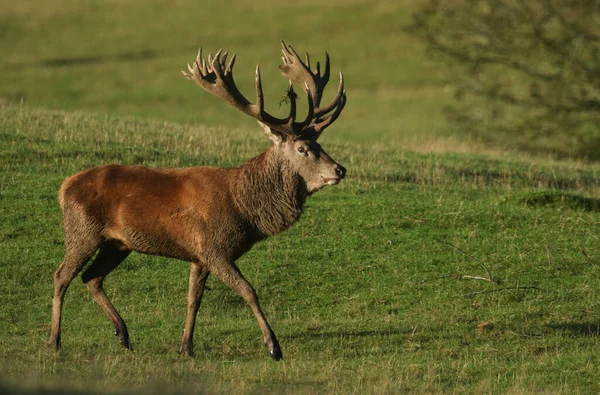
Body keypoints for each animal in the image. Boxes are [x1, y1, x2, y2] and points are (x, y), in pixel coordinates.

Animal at [48, 41, 346, 360]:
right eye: (303, 148)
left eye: (319, 144)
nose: (339, 169)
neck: (244, 209)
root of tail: (64, 188)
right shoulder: (215, 248)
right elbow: (248, 290)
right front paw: (273, 346)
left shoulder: (199, 256)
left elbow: (194, 299)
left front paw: (186, 347)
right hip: (82, 231)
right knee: (61, 276)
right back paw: (54, 340)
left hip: (117, 244)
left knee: (91, 277)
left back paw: (124, 334)